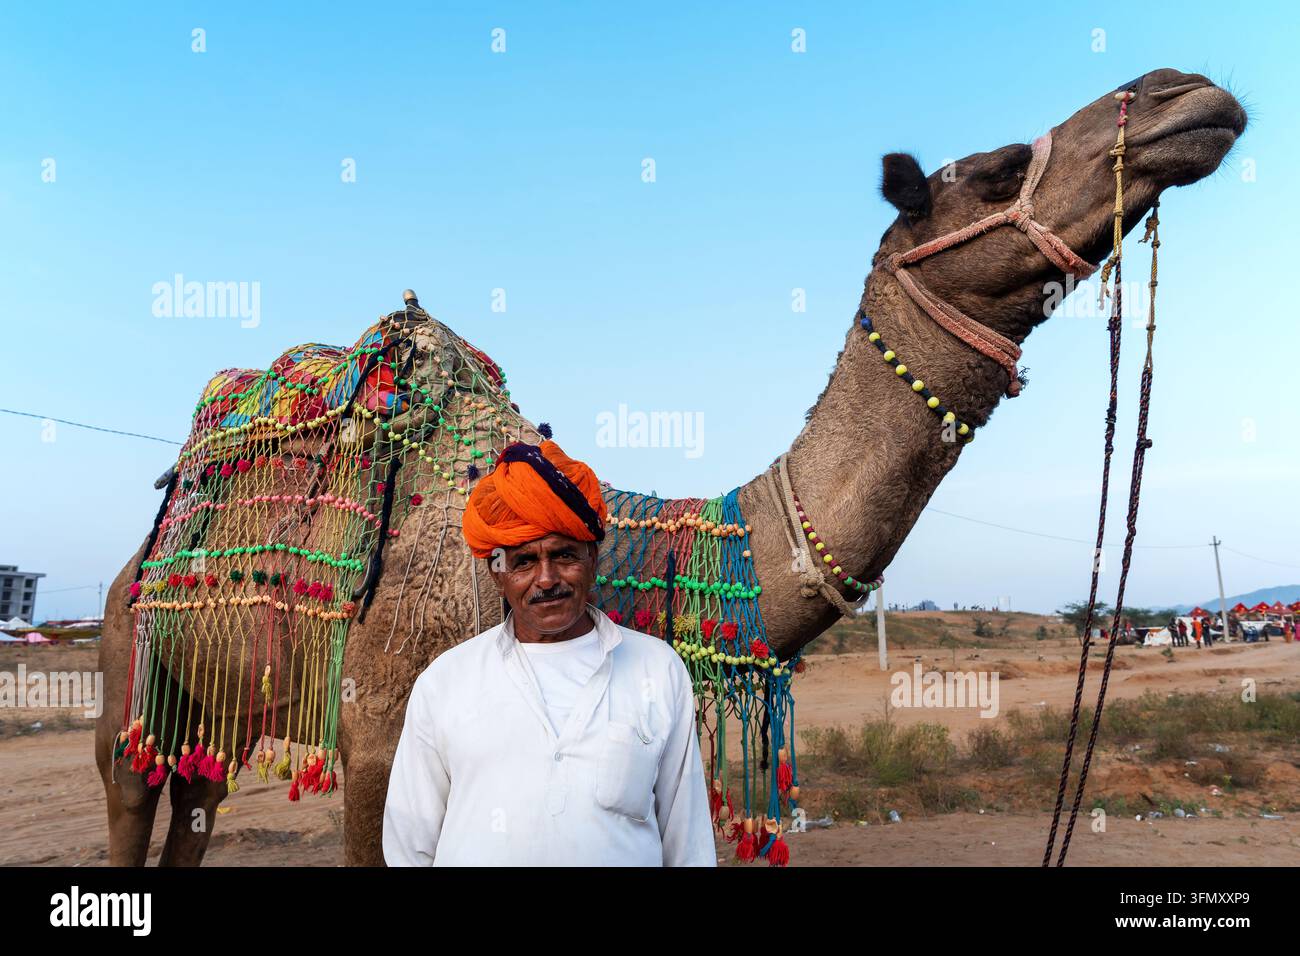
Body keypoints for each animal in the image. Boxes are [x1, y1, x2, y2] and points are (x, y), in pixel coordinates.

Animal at [96, 67, 1245, 865]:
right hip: (130, 654)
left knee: (197, 798)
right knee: (130, 787)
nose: (1185, 92)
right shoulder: (380, 741)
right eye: (1003, 165)